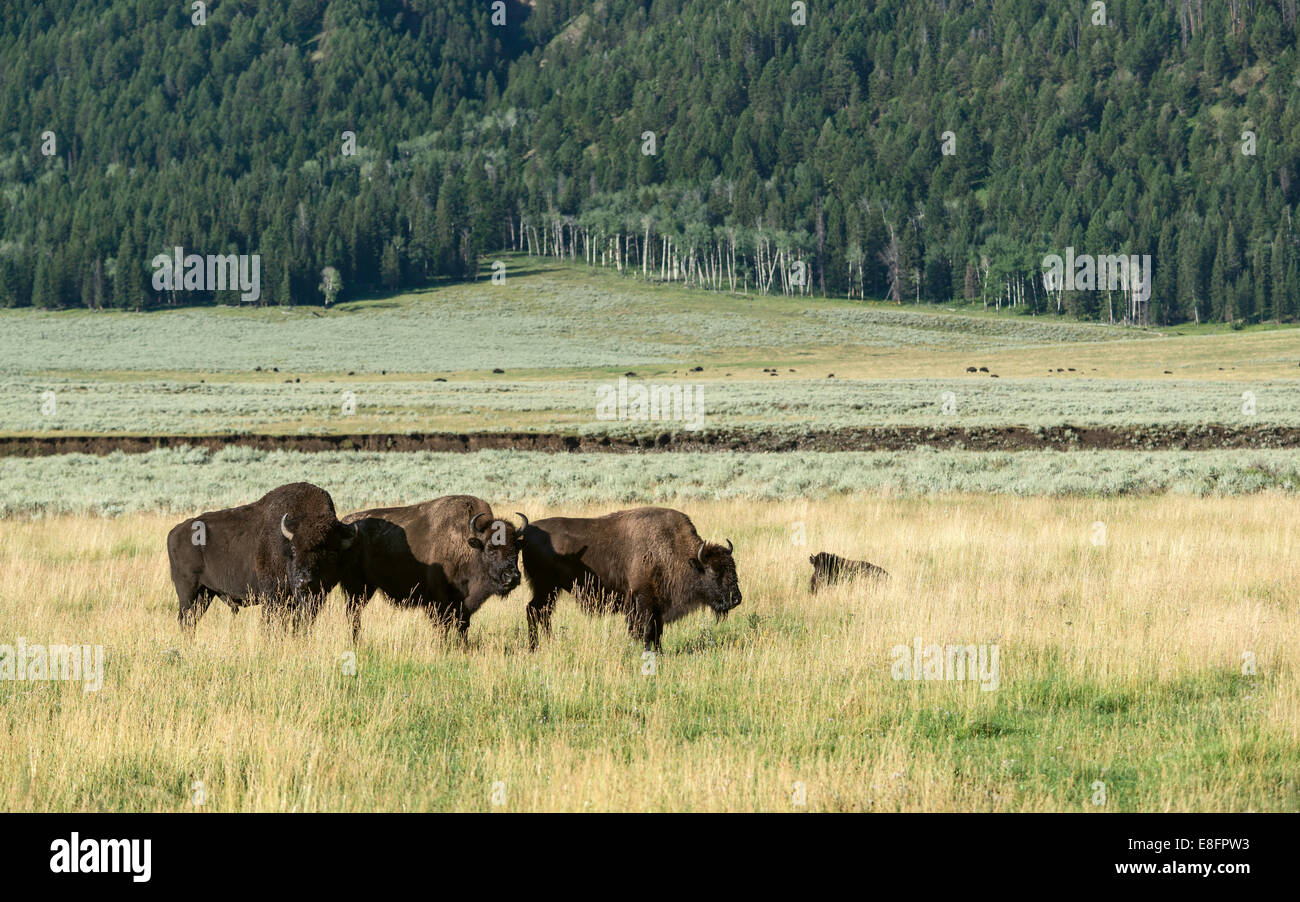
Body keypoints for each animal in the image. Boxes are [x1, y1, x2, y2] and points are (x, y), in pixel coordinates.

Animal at [165, 480, 356, 636]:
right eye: (294, 549)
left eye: (329, 553)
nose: (305, 581)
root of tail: (174, 532)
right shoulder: (272, 597)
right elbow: (271, 624)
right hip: (188, 591)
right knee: (185, 619)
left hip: (205, 593)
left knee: (191, 620)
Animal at [340, 499, 533, 647]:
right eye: (491, 548)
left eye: (516, 548)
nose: (512, 577)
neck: (467, 545)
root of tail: (346, 525)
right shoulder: (439, 600)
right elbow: (442, 625)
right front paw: (443, 647)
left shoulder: (463, 605)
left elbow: (463, 625)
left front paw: (463, 646)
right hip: (356, 588)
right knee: (353, 614)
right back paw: (356, 642)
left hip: (367, 588)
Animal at [517, 504, 743, 652]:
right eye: (714, 571)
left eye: (733, 569)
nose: (736, 598)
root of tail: (527, 533)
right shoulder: (642, 602)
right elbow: (645, 630)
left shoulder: (657, 606)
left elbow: (657, 631)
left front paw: (659, 652)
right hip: (545, 587)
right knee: (534, 611)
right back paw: (534, 647)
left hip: (550, 590)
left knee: (542, 613)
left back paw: (548, 643)